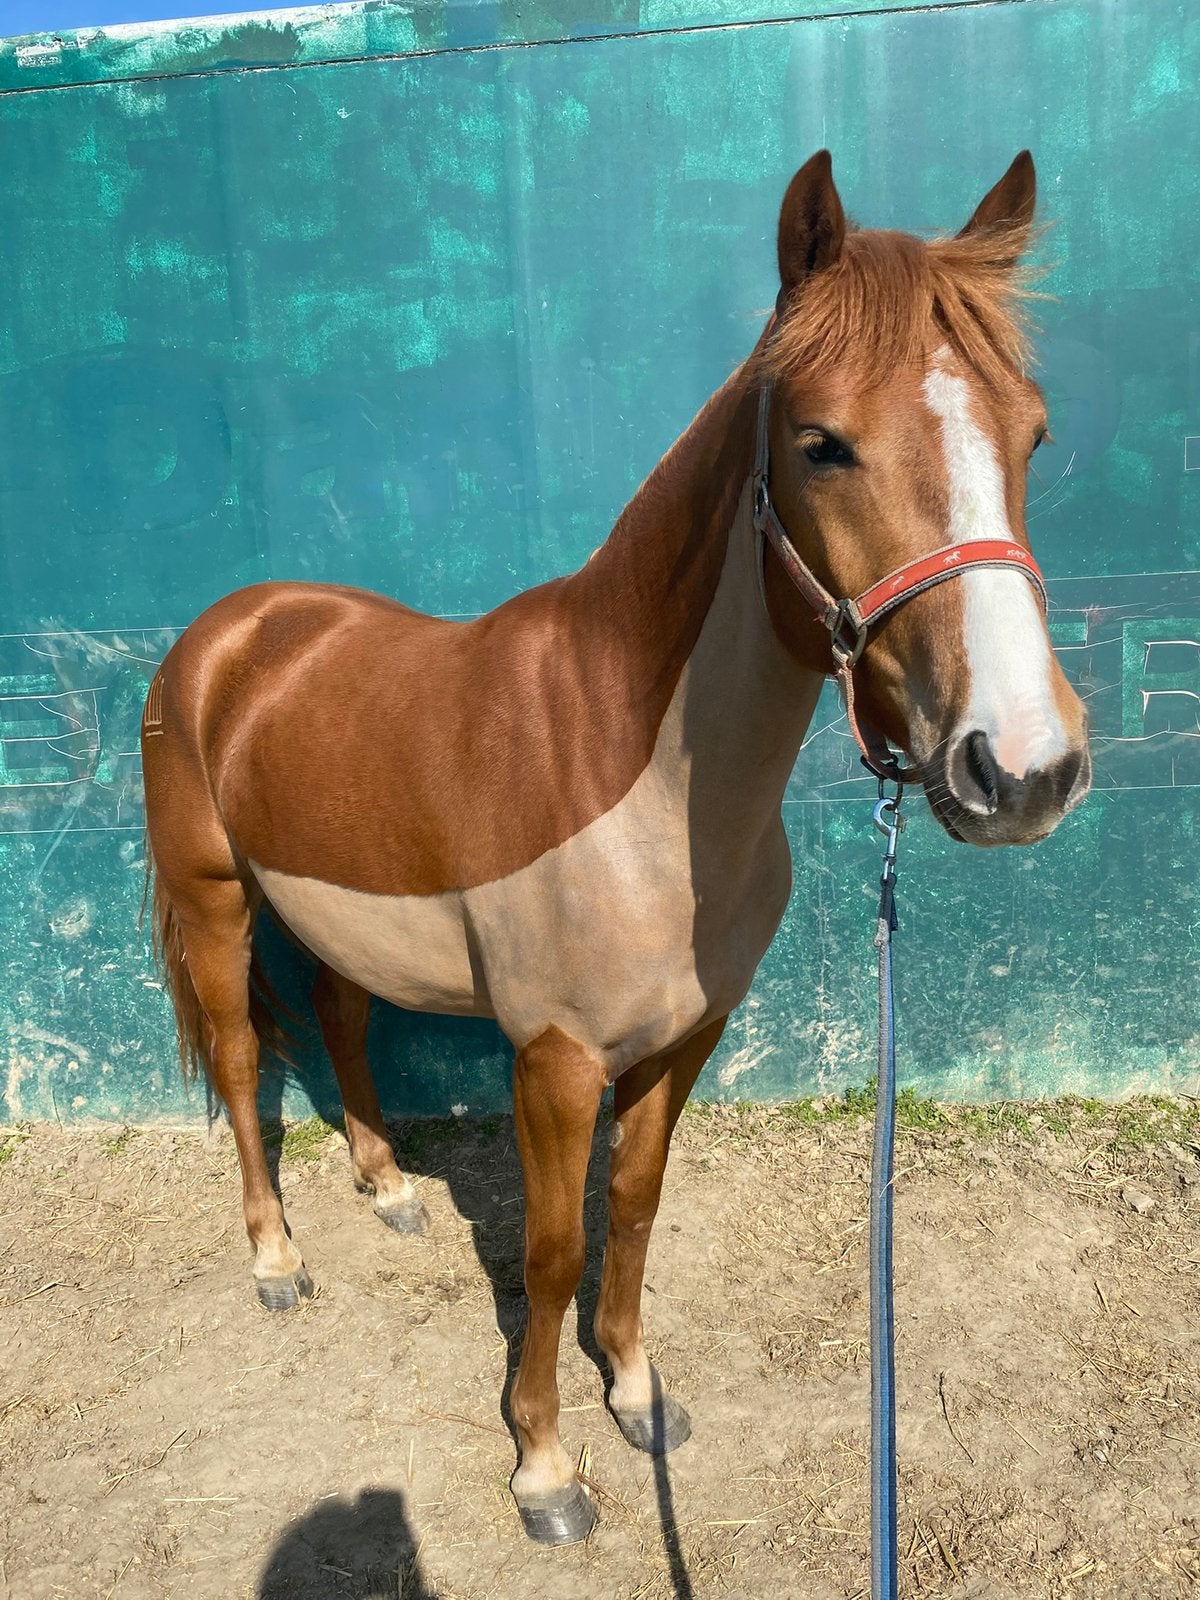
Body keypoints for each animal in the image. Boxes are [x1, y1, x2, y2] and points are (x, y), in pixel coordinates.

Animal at [141, 150, 1090, 1546]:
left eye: (1031, 434)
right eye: (822, 443)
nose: (1022, 767)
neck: (641, 784)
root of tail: (228, 632)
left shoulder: (686, 1037)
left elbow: (633, 1207)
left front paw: (637, 1394)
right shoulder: (554, 1059)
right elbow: (547, 1250)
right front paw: (544, 1467)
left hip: (336, 914)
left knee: (342, 1016)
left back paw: (388, 1186)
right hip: (215, 903)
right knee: (244, 1052)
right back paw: (276, 1257)